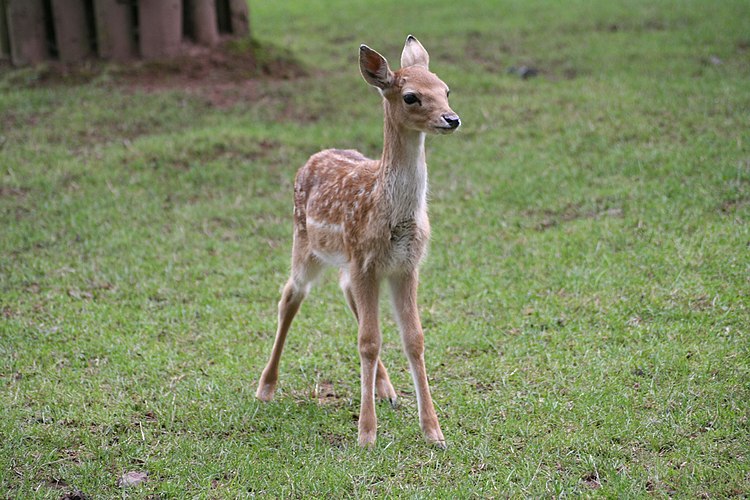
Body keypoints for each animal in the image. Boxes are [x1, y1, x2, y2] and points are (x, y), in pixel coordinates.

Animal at [256, 36, 462, 450]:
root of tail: (313, 157)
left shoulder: (405, 266)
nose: (452, 119)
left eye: (445, 89)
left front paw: (434, 431)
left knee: (346, 293)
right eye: (411, 97)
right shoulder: (366, 261)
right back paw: (265, 387)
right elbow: (367, 341)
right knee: (290, 295)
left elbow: (413, 339)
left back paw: (387, 390)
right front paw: (366, 434)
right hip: (305, 242)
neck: (389, 210)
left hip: (350, 262)